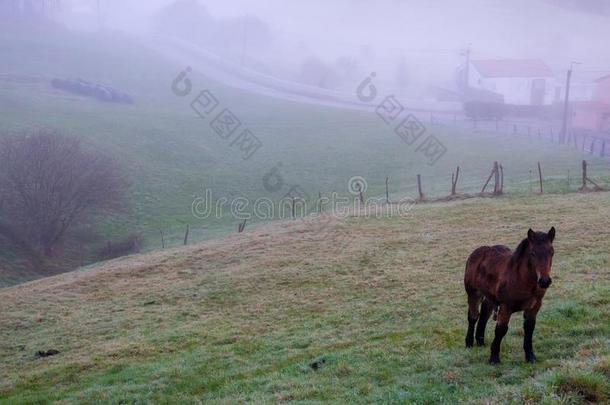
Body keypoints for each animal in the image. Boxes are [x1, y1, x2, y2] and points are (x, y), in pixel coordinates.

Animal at [464, 227, 552, 362]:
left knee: (484, 314)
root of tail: (476, 253)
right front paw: (494, 358)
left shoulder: (535, 306)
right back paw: (469, 343)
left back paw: (480, 342)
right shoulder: (506, 306)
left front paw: (530, 357)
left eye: (551, 252)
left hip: (490, 297)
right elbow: (501, 330)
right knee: (473, 316)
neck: (522, 279)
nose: (544, 281)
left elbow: (529, 328)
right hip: (474, 293)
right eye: (533, 253)